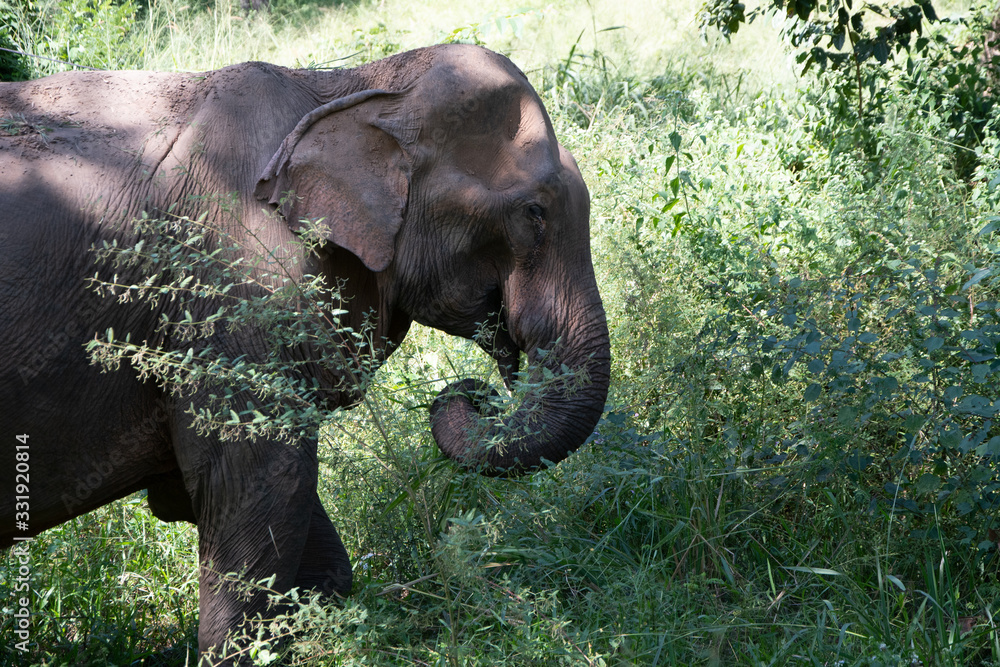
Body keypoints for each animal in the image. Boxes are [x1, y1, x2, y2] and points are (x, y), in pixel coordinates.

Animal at [0, 44, 610, 662]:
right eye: (534, 213)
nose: (476, 394)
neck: (354, 86)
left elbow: (303, 535)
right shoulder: (237, 287)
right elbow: (261, 480)